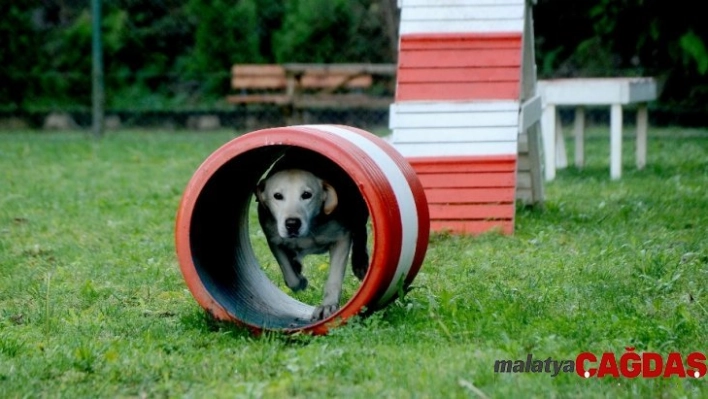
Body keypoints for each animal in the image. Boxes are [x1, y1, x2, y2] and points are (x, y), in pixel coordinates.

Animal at [254, 150, 368, 322]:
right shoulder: (274, 239)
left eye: (307, 195)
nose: (292, 223)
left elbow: (334, 278)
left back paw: (360, 263)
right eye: (277, 196)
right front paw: (299, 278)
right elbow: (289, 274)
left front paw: (328, 306)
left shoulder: (341, 238)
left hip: (358, 208)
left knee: (361, 232)